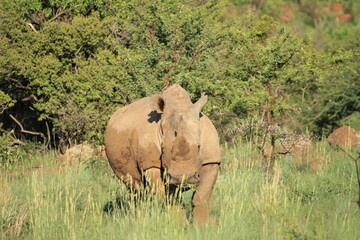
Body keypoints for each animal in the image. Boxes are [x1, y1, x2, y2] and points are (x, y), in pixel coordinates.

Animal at [104, 84, 221, 223]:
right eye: (163, 148)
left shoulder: (211, 160)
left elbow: (201, 198)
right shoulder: (151, 164)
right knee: (136, 188)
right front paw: (179, 225)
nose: (182, 178)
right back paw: (139, 219)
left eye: (199, 147)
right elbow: (172, 199)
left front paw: (202, 226)